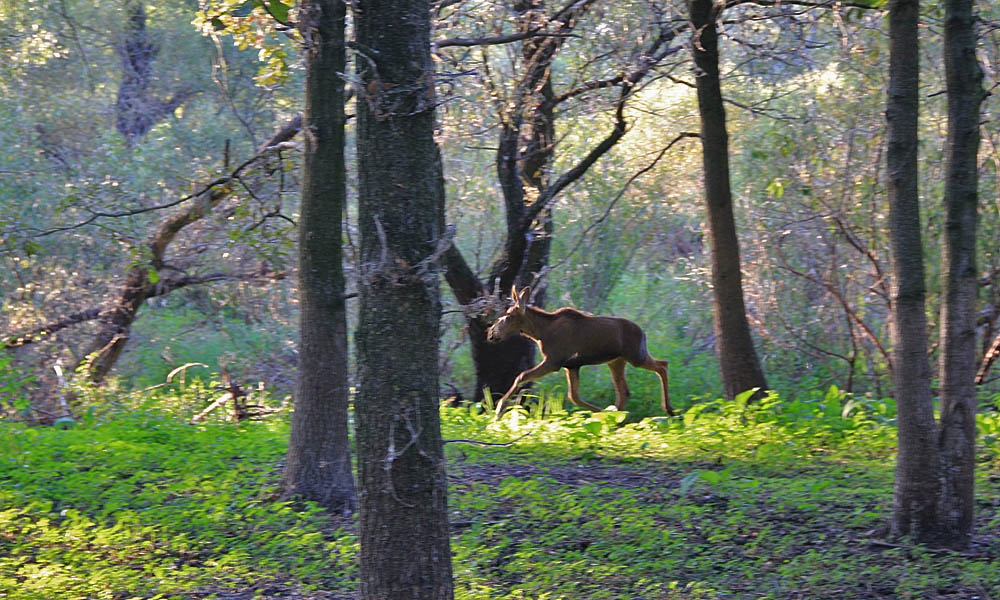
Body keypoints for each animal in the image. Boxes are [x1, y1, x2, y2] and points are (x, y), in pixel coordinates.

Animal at [484, 288, 672, 418]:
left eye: (508, 316)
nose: (491, 333)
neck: (540, 333)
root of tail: (642, 331)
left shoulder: (553, 361)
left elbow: (521, 376)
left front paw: (499, 408)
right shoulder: (571, 366)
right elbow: (573, 396)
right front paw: (602, 413)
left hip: (635, 356)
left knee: (663, 365)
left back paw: (668, 409)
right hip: (616, 361)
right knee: (624, 392)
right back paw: (617, 419)